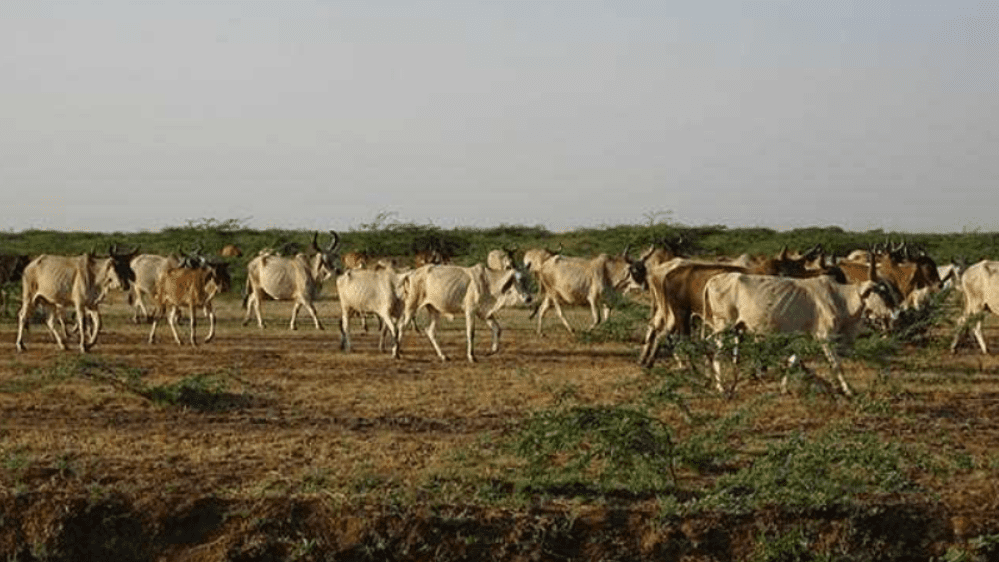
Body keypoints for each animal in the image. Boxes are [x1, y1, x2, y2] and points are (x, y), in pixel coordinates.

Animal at [399, 264, 532, 362]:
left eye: (528, 280)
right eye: (519, 280)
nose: (529, 298)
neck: (489, 282)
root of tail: (410, 273)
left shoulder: (484, 313)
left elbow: (497, 329)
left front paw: (491, 351)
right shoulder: (470, 310)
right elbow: (470, 333)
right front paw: (471, 356)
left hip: (434, 310)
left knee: (430, 331)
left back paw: (443, 356)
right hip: (411, 306)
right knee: (402, 326)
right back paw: (397, 353)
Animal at [701, 261, 897, 396]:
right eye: (882, 292)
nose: (896, 314)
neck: (839, 297)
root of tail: (712, 279)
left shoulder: (803, 337)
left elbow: (792, 361)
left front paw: (783, 388)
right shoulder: (825, 337)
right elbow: (836, 364)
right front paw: (848, 390)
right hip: (723, 325)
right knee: (716, 353)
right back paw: (721, 387)